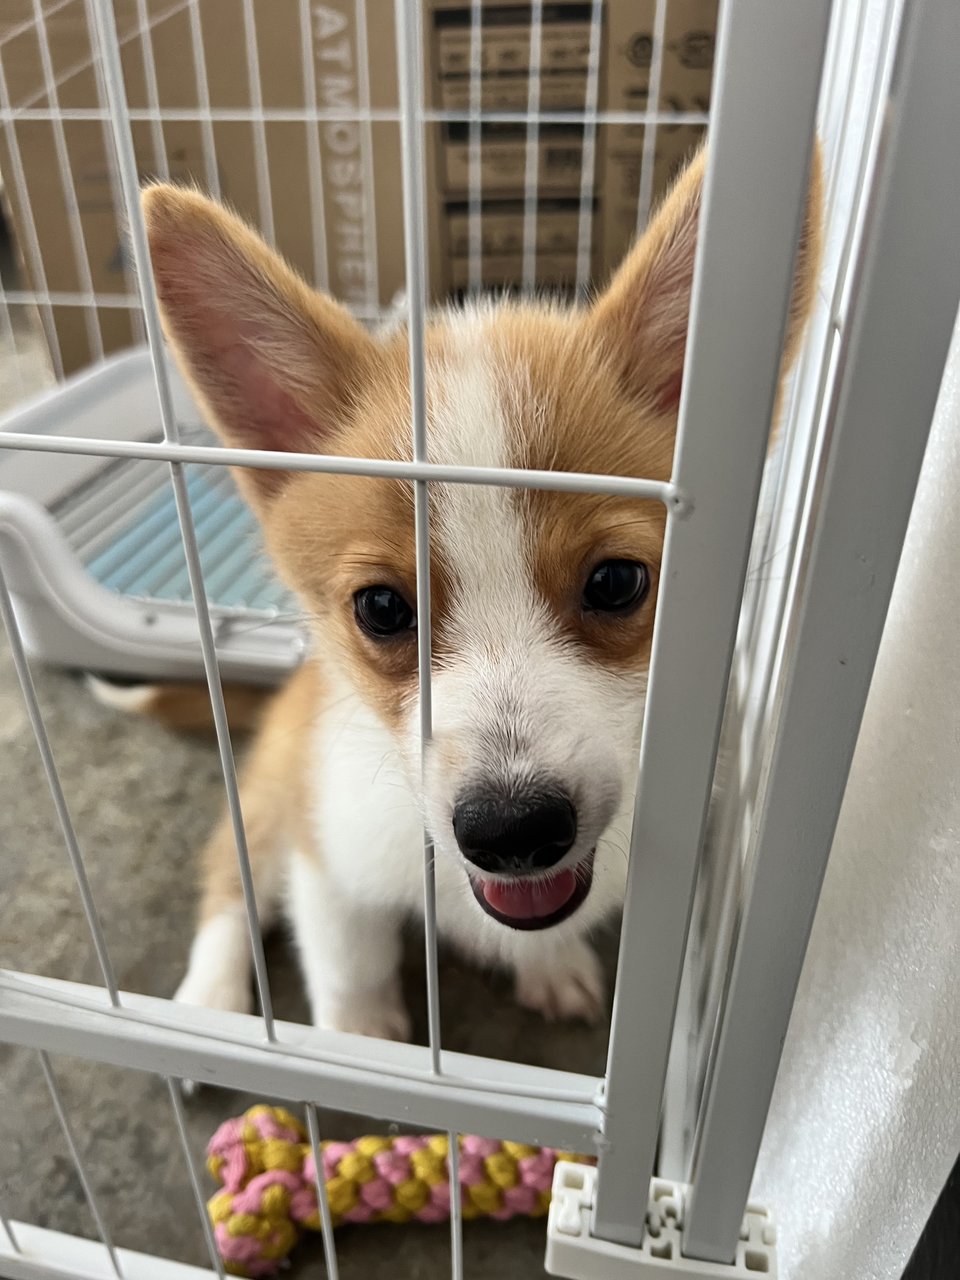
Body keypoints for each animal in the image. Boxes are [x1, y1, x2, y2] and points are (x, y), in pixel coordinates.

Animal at [146, 145, 824, 1034]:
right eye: (382, 608)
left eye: (617, 583)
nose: (513, 831)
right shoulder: (327, 858)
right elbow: (350, 968)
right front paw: (365, 1040)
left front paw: (550, 962)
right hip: (260, 806)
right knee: (228, 890)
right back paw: (210, 1000)